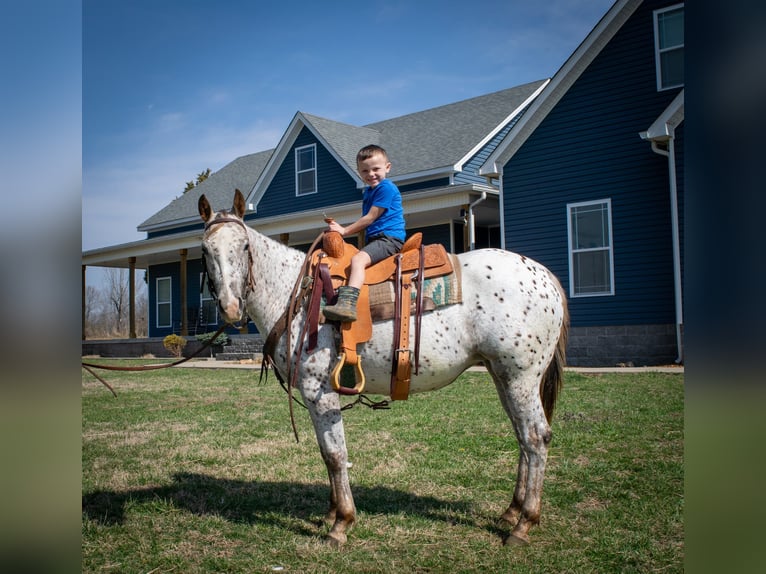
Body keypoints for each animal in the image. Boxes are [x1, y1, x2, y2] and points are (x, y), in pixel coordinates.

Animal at [198, 189, 569, 546]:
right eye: (205, 249)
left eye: (244, 246)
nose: (230, 308)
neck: (296, 294)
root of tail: (545, 276)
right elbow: (327, 453)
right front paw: (331, 514)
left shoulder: (320, 389)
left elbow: (335, 453)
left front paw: (341, 523)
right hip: (503, 376)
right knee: (522, 436)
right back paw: (511, 512)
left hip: (521, 377)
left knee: (536, 436)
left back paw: (523, 524)